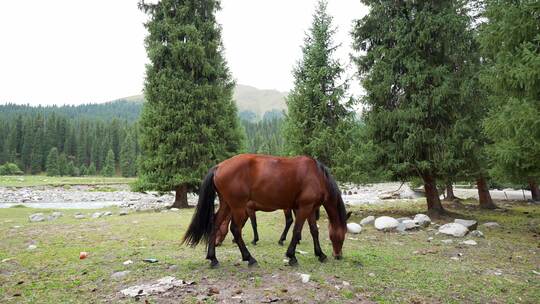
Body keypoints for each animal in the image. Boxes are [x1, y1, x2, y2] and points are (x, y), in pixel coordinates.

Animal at [182, 154, 350, 266]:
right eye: (341, 235)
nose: (338, 255)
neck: (317, 176)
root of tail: (219, 166)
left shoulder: (311, 208)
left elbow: (314, 231)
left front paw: (320, 254)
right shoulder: (304, 207)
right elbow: (296, 231)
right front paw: (292, 256)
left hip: (226, 204)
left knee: (216, 224)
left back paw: (213, 258)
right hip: (237, 207)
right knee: (235, 229)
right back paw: (249, 258)